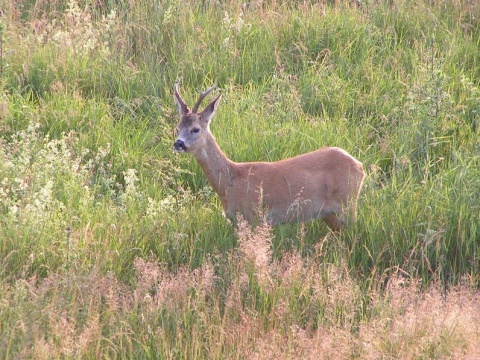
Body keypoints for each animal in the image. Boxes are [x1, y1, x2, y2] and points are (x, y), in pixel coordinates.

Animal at [174, 83, 366, 231]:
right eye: (177, 128)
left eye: (196, 129)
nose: (178, 144)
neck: (230, 183)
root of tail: (359, 165)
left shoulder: (255, 216)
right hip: (330, 214)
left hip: (348, 203)